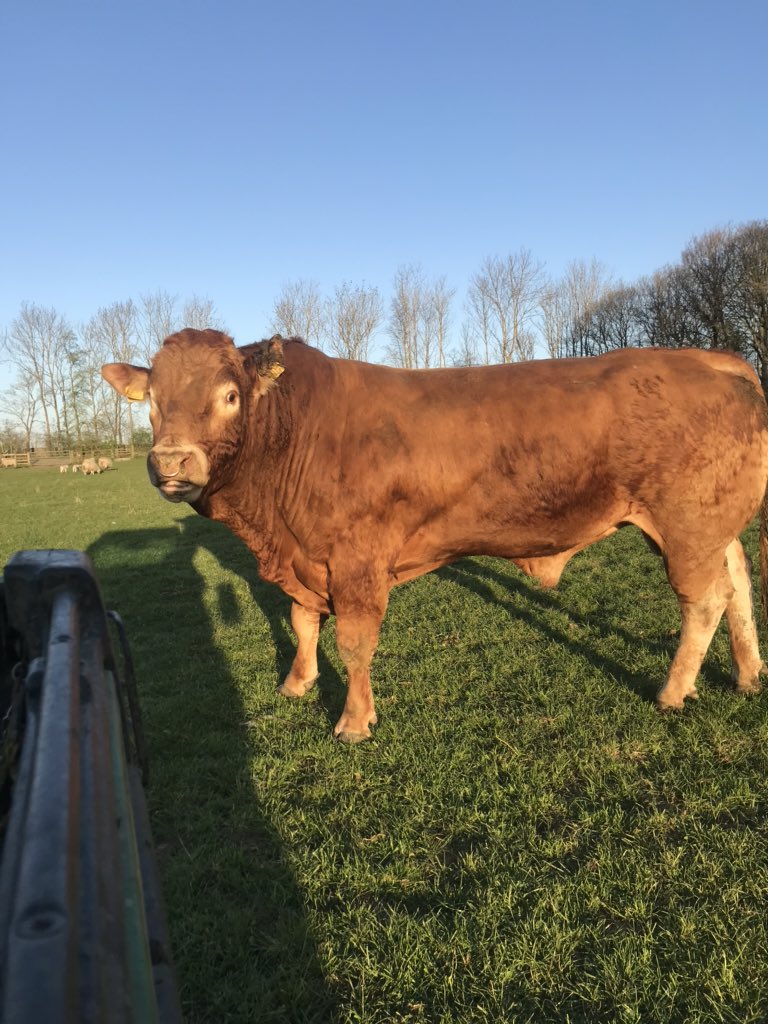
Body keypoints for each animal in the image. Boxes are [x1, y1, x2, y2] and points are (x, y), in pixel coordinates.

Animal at [102, 329, 768, 743]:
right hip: (709, 528)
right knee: (737, 581)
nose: (171, 462)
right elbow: (302, 619)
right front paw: (297, 682)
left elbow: (354, 643)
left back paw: (674, 690)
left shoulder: (358, 561)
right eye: (152, 401)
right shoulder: (306, 556)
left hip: (686, 526)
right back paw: (747, 672)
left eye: (230, 395)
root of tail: (708, 358)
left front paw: (354, 720)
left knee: (705, 600)